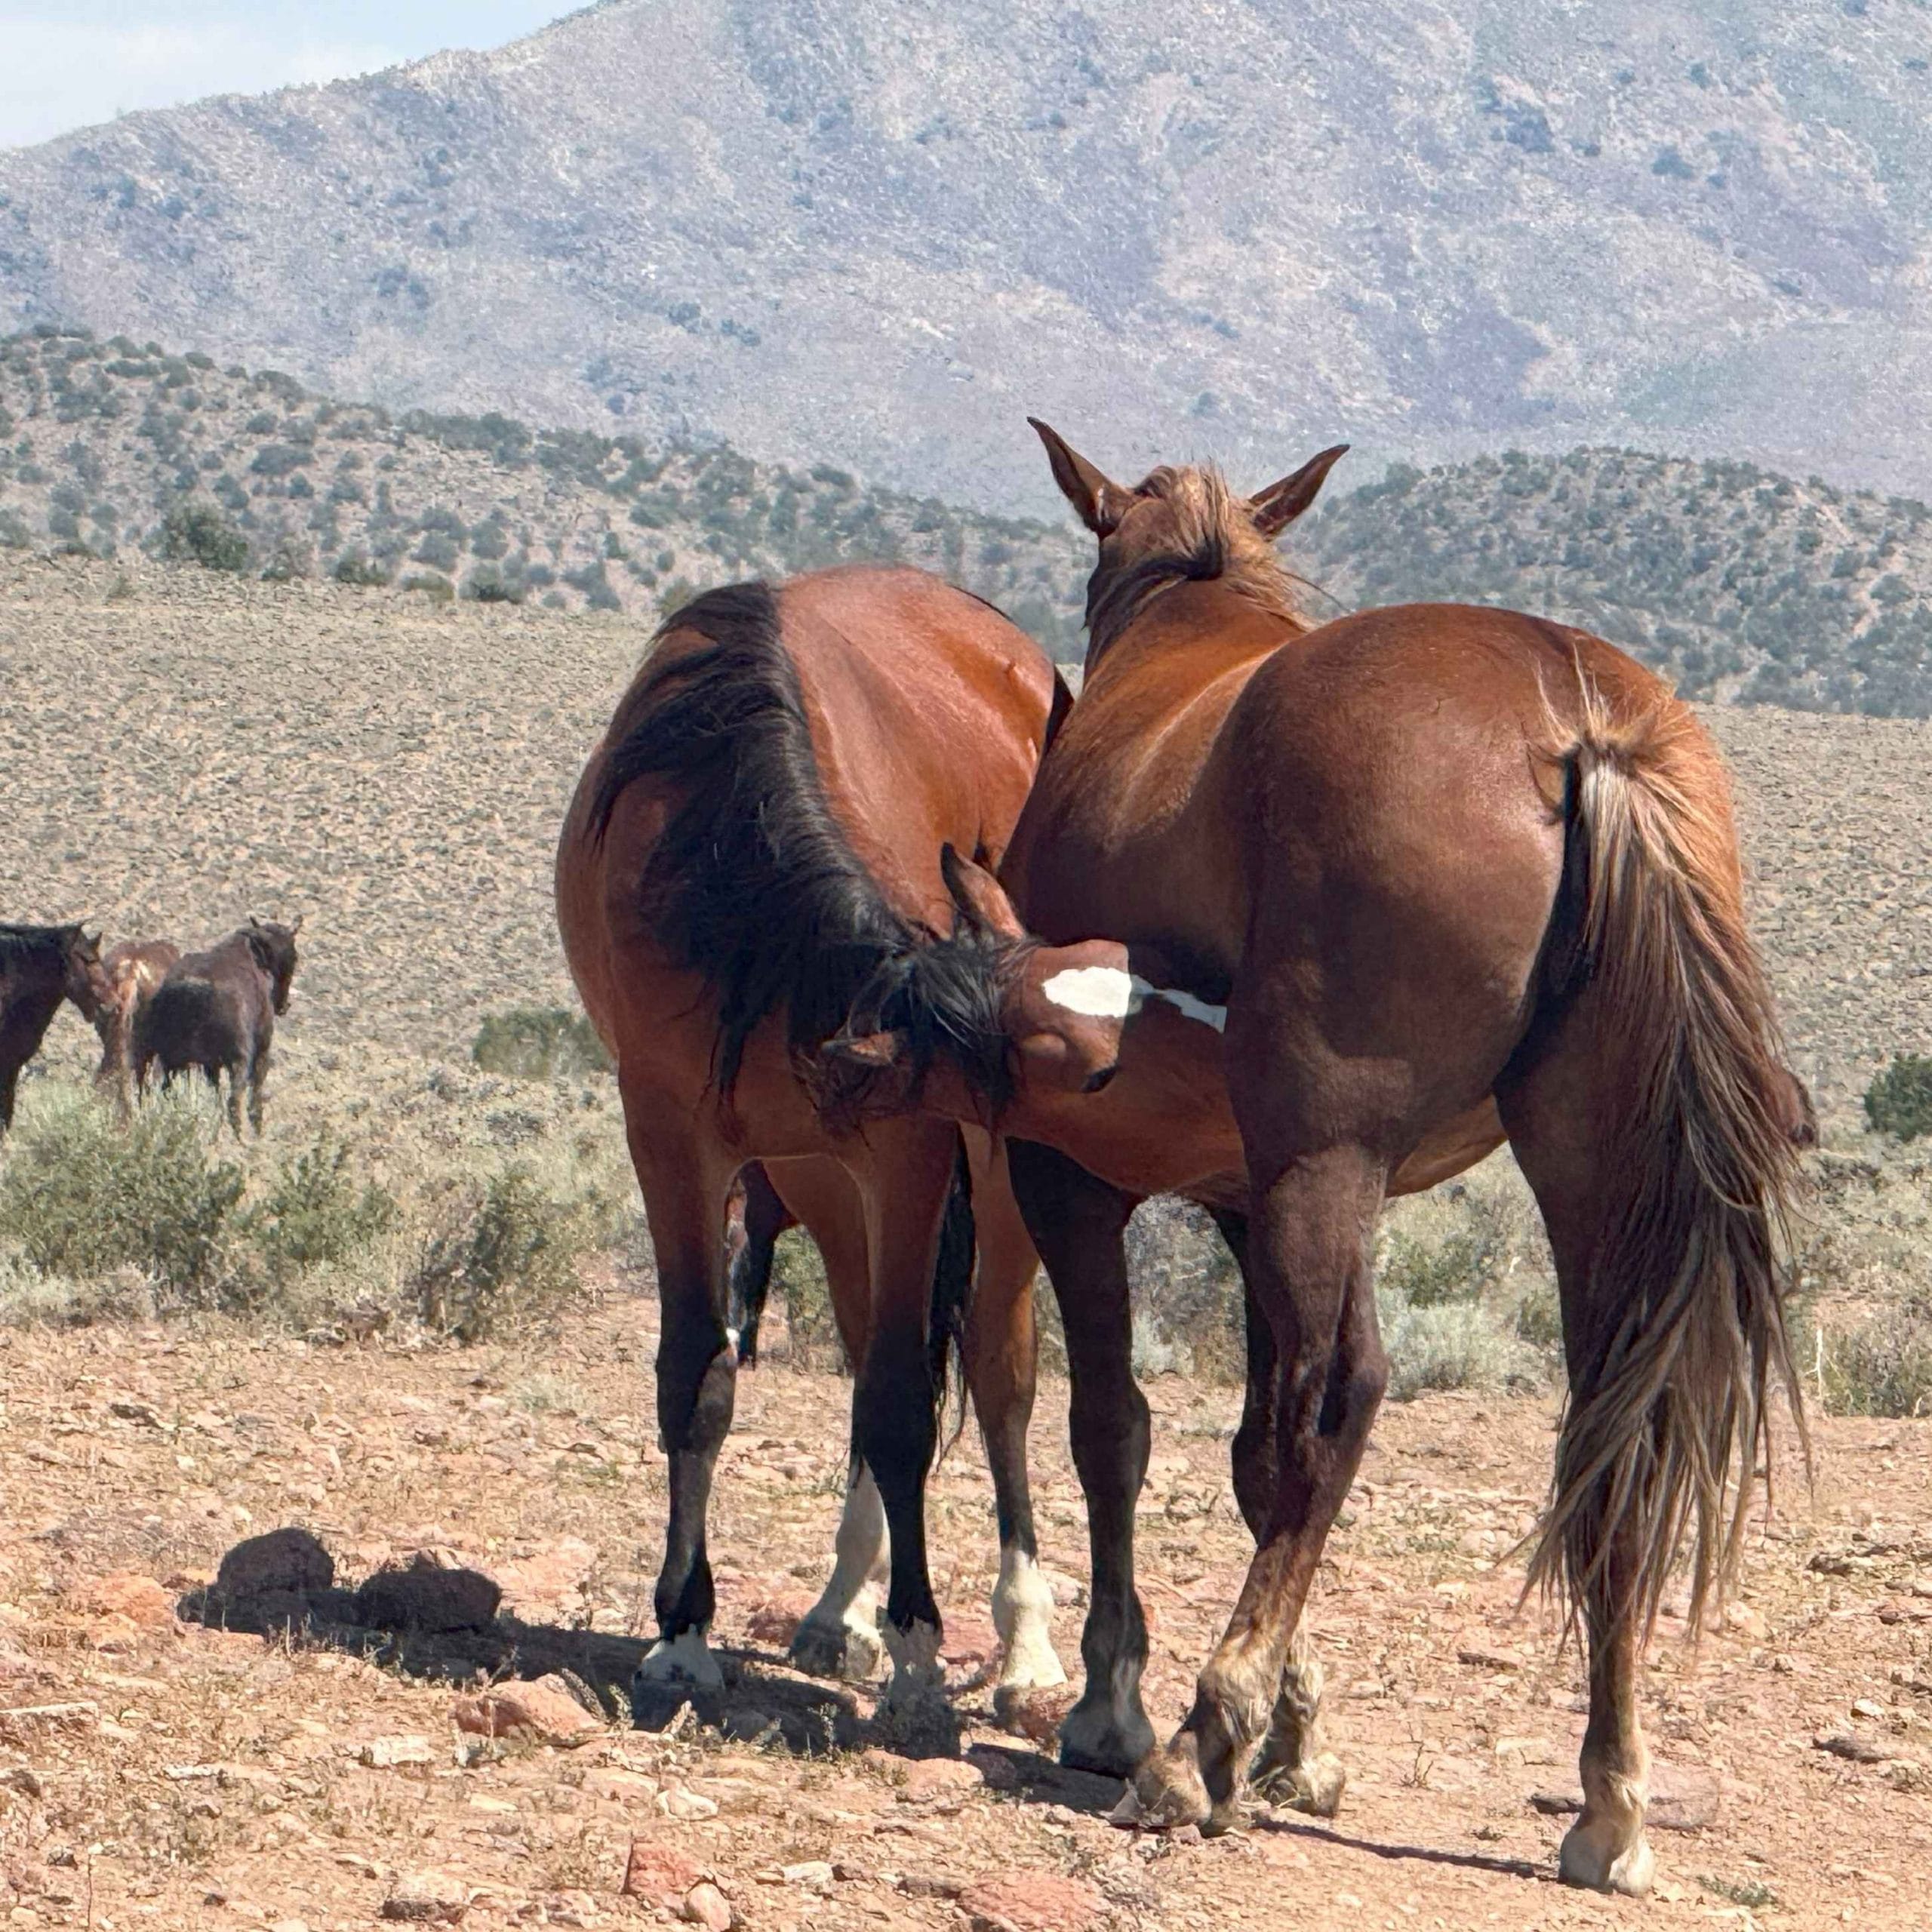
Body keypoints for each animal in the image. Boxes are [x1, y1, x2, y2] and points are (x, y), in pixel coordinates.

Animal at [132, 918, 301, 1136]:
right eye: (294, 957)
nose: (283, 1005)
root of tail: (191, 992)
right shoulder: (260, 1050)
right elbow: (255, 1093)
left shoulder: (210, 1065)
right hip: (235, 1060)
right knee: (234, 1102)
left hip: (165, 1061)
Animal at [553, 564, 1136, 1735]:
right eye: (1077, 1071)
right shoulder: (673, 1135)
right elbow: (699, 1373)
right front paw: (682, 1633)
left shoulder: (908, 1149)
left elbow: (906, 1402)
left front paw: (919, 1653)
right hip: (824, 1175)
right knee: (872, 1342)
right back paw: (840, 1607)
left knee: (993, 1373)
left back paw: (1023, 1645)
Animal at [820, 427, 1804, 1895]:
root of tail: (1580, 727)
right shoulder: (1248, 1195)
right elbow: (1246, 1450)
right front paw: (1297, 1732)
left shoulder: (1090, 1184)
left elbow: (1119, 1426)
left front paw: (1125, 1706)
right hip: (1576, 1168)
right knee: (1604, 1437)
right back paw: (1610, 1803)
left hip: (1330, 1170)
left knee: (1344, 1404)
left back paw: (1190, 1749)